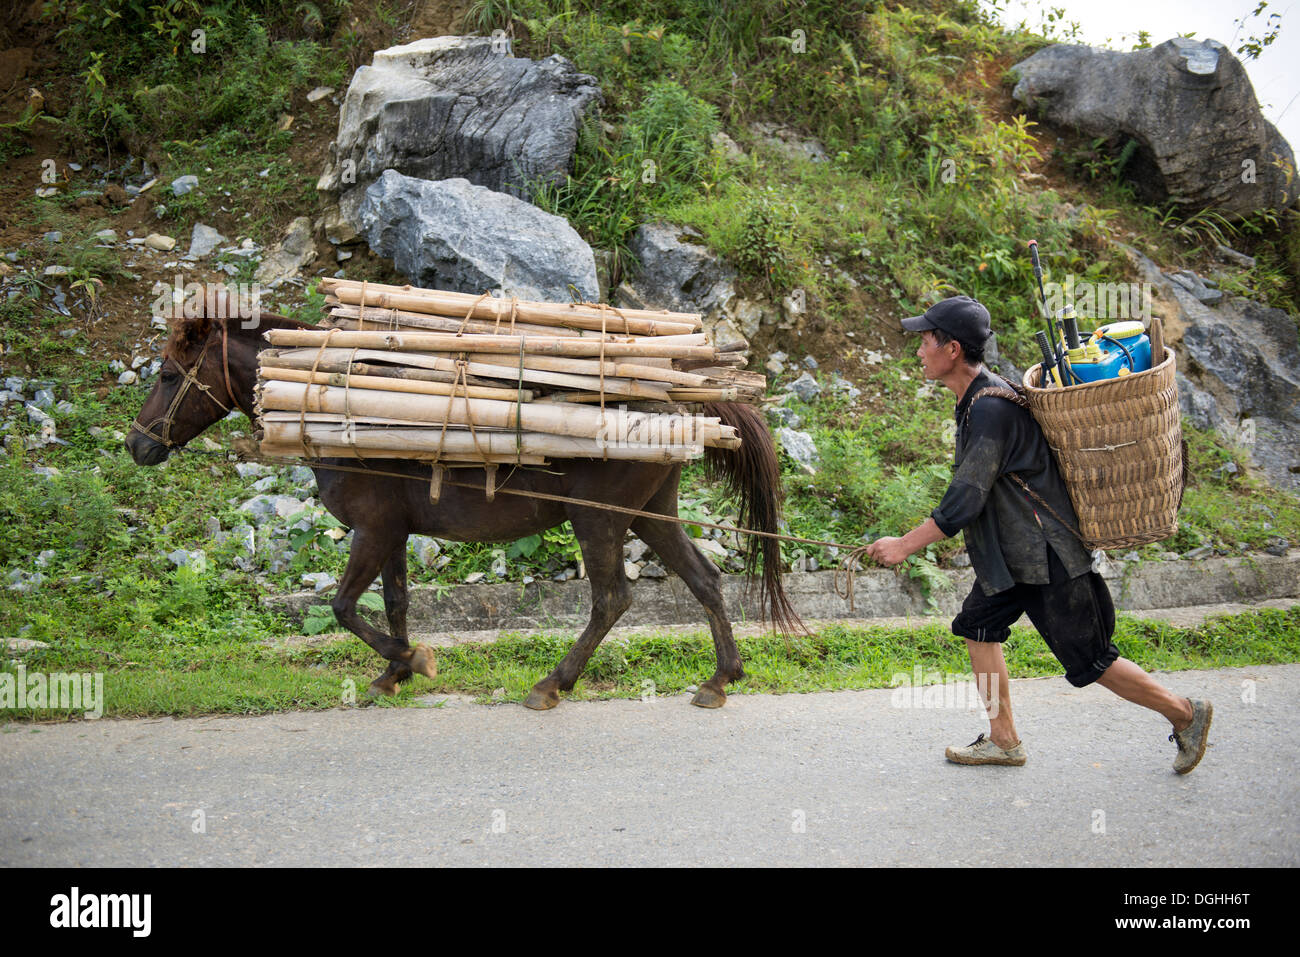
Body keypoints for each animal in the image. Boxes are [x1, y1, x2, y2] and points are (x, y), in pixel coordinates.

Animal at [125, 297, 798, 709]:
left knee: (613, 600)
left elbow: (343, 607)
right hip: (650, 513)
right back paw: (720, 679)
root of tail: (686, 399)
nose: (136, 445)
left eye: (166, 375)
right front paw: (390, 676)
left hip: (600, 519)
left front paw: (412, 662)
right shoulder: (392, 532)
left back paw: (552, 683)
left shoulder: (372, 528)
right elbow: (393, 601)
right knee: (705, 580)